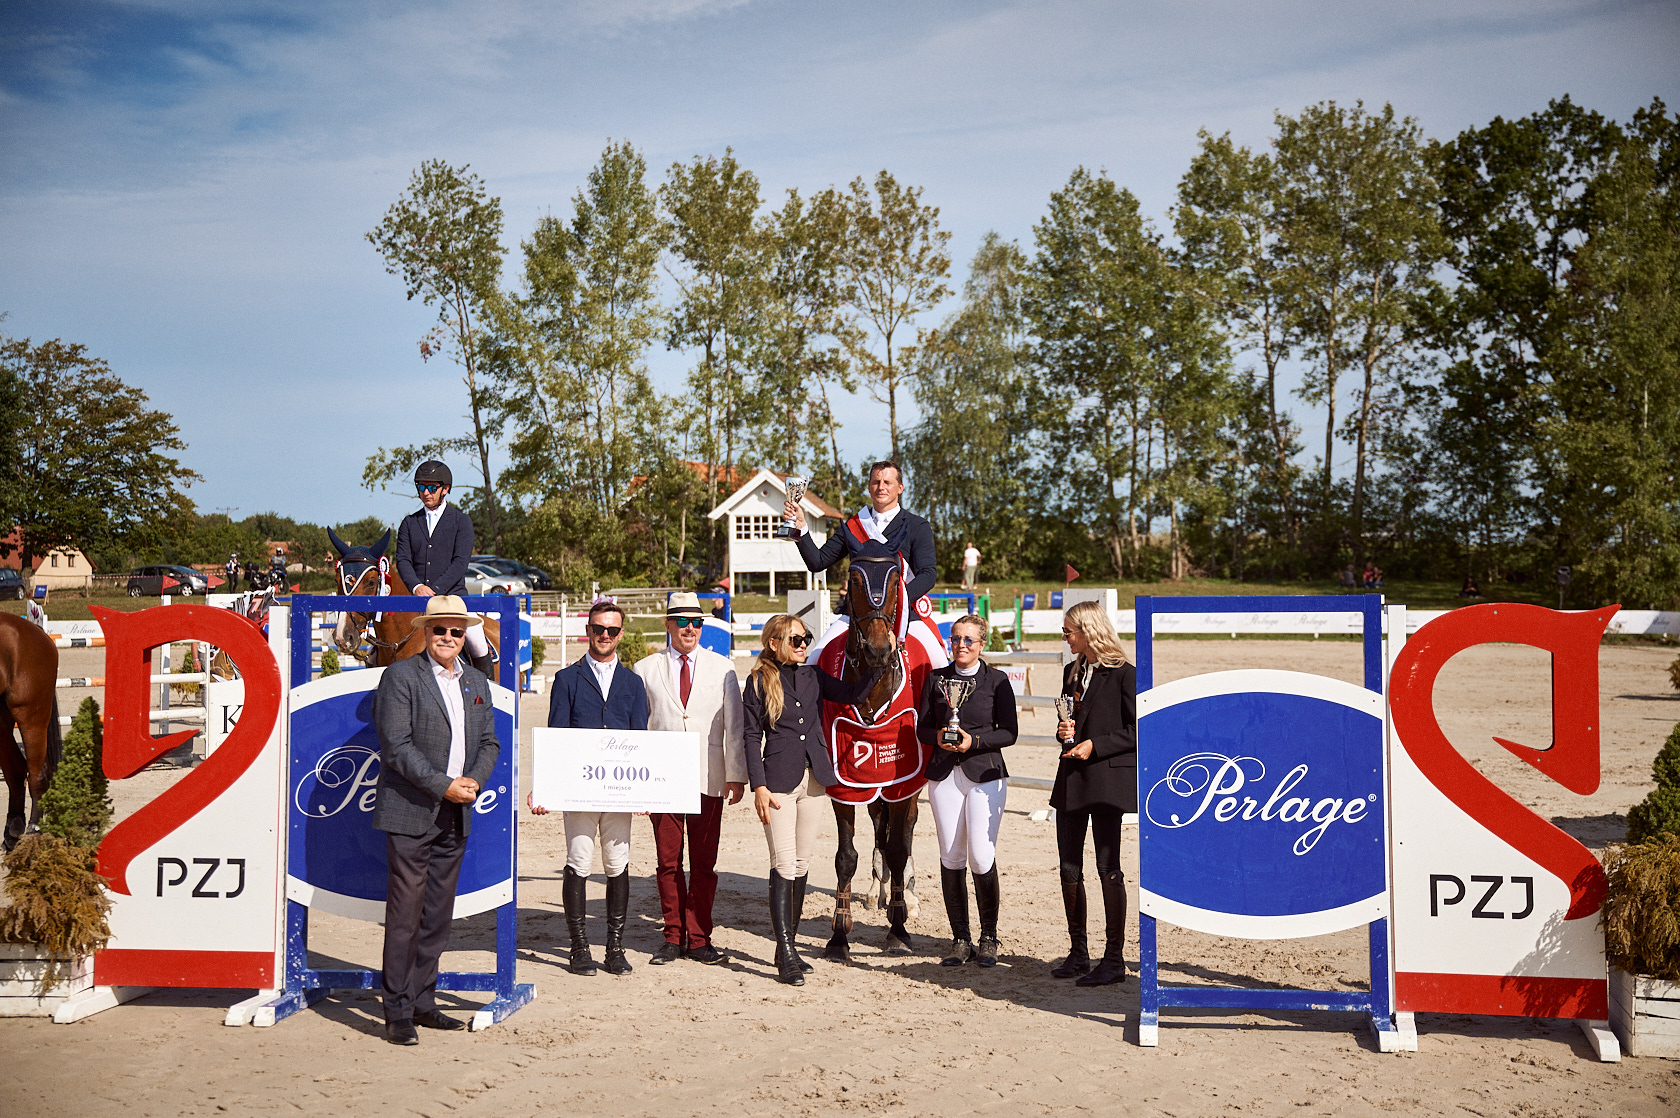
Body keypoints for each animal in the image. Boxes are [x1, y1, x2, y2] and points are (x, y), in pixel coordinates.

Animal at [816, 558, 934, 961]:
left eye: (897, 580)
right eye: (853, 580)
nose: (879, 649)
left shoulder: (901, 783)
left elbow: (899, 848)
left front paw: (898, 930)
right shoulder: (844, 784)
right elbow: (845, 856)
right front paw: (838, 936)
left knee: (906, 834)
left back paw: (907, 898)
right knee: (879, 829)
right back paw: (876, 892)